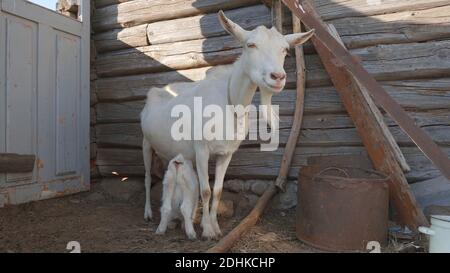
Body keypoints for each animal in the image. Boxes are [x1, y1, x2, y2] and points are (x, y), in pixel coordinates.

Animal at [140, 9, 312, 237]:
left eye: (285, 49)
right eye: (251, 45)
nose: (278, 77)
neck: (231, 101)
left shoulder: (226, 153)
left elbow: (218, 190)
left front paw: (215, 227)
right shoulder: (202, 148)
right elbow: (205, 190)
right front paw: (206, 231)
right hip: (145, 143)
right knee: (147, 176)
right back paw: (148, 213)